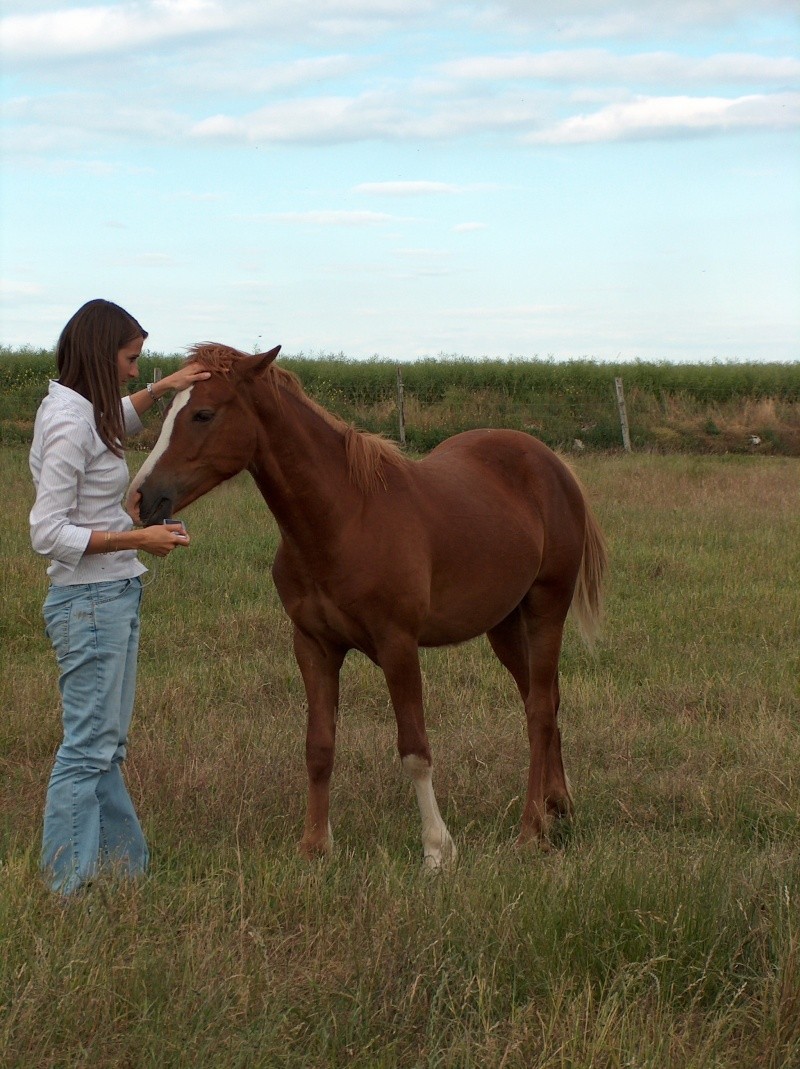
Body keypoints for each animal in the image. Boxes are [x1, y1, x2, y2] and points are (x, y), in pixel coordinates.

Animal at [129, 346, 607, 863]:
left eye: (203, 413)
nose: (141, 498)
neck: (344, 519)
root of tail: (553, 465)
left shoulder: (398, 646)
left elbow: (415, 749)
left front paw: (437, 849)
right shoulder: (313, 646)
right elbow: (319, 746)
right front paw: (315, 844)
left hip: (546, 609)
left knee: (539, 710)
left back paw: (531, 827)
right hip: (502, 624)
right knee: (544, 699)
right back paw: (558, 805)